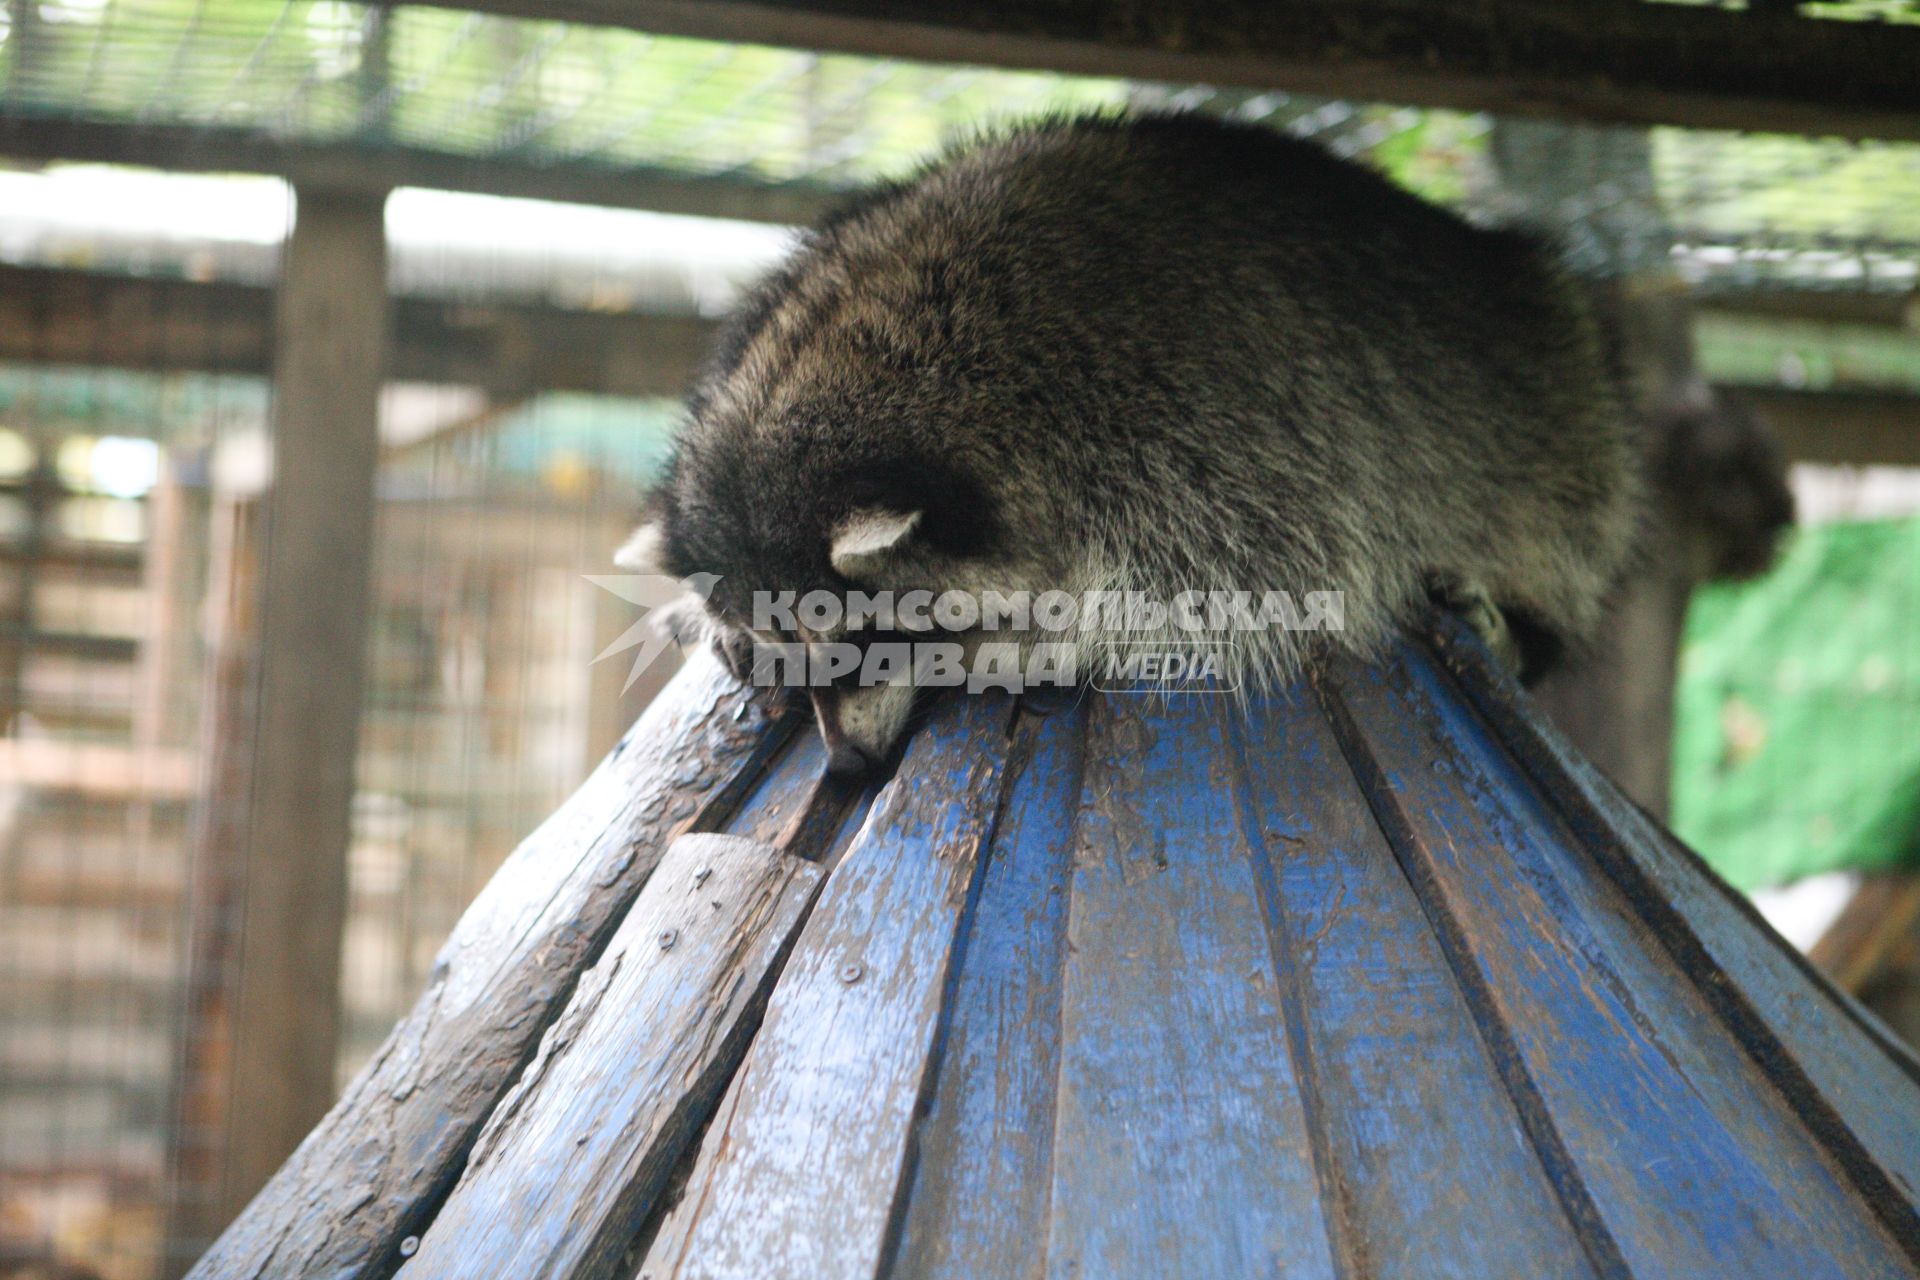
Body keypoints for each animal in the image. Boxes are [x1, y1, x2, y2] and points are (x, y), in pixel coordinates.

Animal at [622, 117, 1643, 782]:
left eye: (867, 639)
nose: (849, 766)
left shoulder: (1214, 439)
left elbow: (1236, 597)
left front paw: (1024, 640)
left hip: (1567, 421)